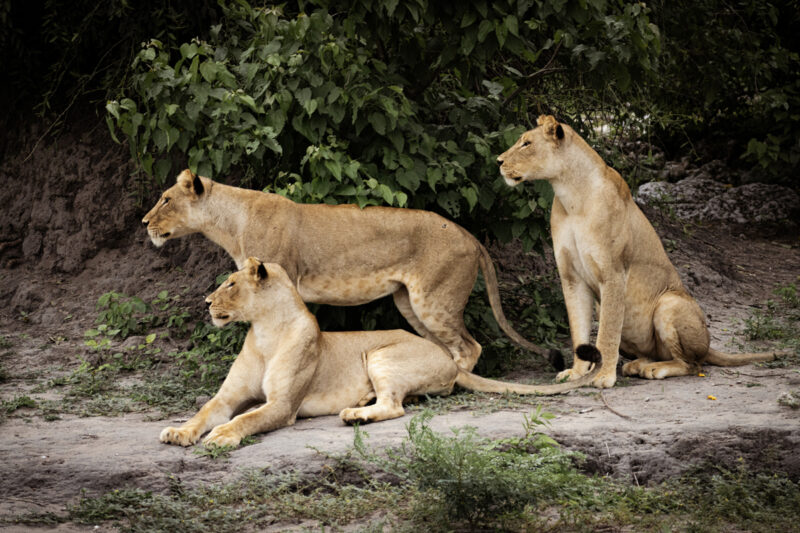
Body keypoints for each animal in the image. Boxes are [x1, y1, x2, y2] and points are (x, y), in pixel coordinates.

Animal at [143, 170, 563, 373]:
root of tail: (469, 235)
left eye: (165, 200)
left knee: (469, 347)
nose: (144, 222)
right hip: (408, 302)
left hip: (433, 302)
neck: (229, 223)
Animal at [159, 258, 601, 447]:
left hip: (380, 355)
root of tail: (448, 359)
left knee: (394, 407)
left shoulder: (283, 406)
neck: (264, 331)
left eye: (231, 284)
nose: (204, 302)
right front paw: (179, 432)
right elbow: (204, 412)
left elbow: (247, 419)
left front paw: (221, 436)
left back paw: (356, 413)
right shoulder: (226, 397)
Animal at [497, 115, 781, 389]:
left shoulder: (613, 274)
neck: (570, 195)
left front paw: (602, 376)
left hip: (669, 302)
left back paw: (654, 369)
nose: (498, 161)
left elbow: (607, 333)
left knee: (693, 365)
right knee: (658, 354)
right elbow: (579, 331)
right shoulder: (571, 277)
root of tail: (709, 345)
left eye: (526, 144)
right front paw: (577, 373)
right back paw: (637, 365)